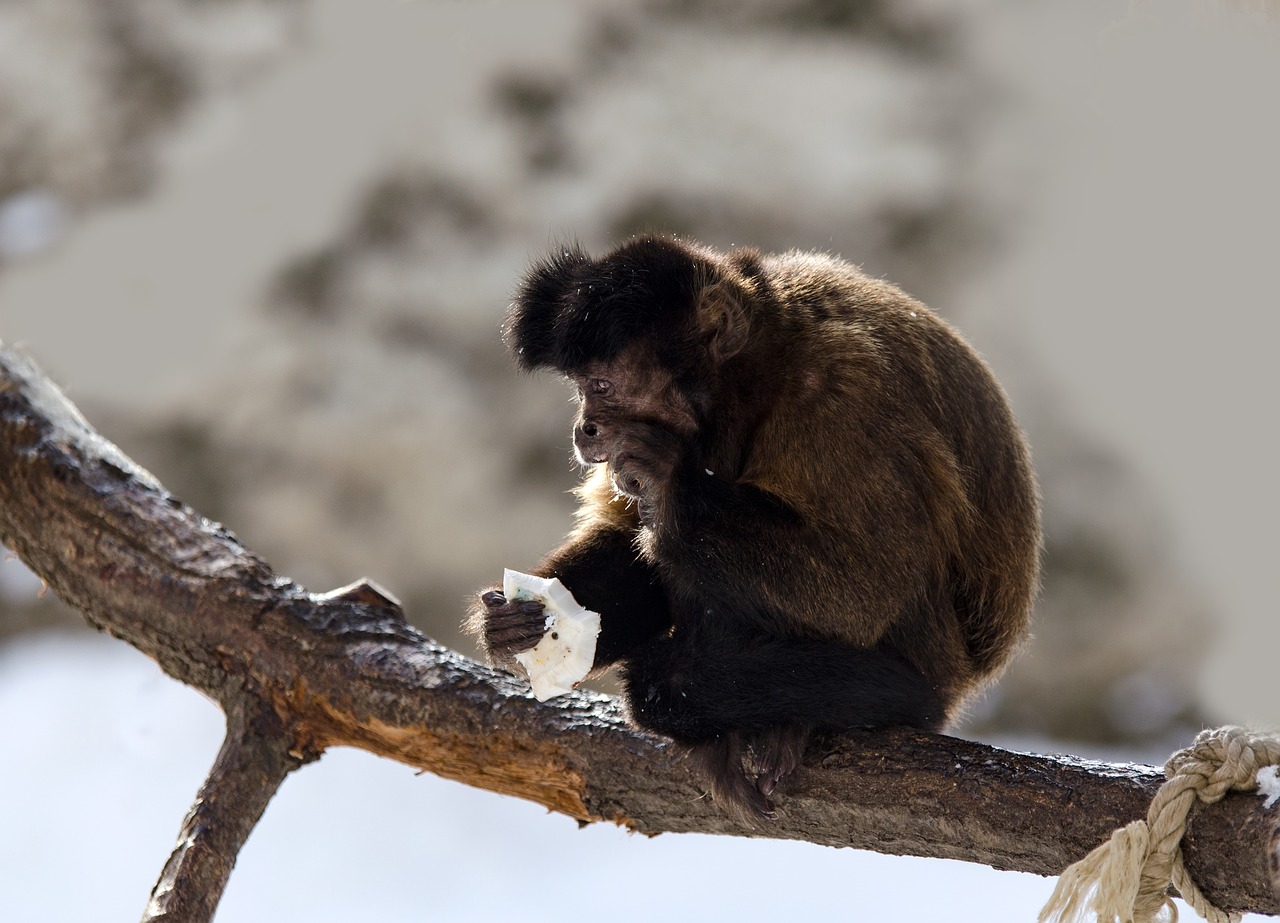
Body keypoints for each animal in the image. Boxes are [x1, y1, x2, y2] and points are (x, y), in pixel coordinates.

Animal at [471, 234, 1039, 819]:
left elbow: (866, 590)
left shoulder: (843, 394)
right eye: (582, 389)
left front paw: (669, 478)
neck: (761, 370)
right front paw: (516, 627)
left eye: (602, 386)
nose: (583, 428)